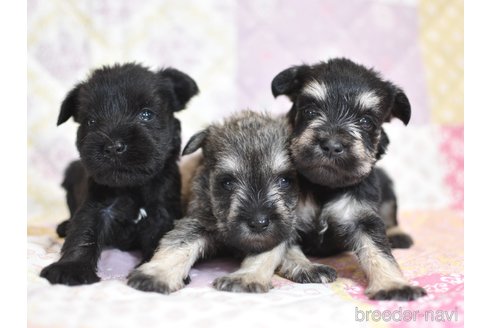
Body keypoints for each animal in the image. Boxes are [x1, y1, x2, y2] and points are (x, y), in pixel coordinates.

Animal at [40, 62, 198, 286]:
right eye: (91, 121)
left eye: (146, 114)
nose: (113, 147)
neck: (131, 187)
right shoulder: (96, 207)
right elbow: (83, 234)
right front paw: (71, 267)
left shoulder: (162, 213)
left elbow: (161, 241)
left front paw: (154, 269)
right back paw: (64, 226)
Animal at [126, 111, 338, 294]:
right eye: (227, 182)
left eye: (285, 180)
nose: (258, 223)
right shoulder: (196, 221)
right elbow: (178, 246)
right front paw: (156, 275)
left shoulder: (278, 232)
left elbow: (270, 252)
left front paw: (245, 278)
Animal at [270, 58, 424, 300]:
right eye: (310, 111)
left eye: (366, 121)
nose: (332, 145)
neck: (324, 187)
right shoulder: (286, 218)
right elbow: (288, 248)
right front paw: (307, 267)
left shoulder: (362, 218)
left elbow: (378, 250)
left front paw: (392, 284)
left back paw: (397, 234)